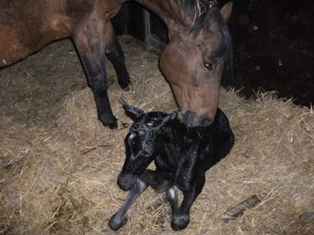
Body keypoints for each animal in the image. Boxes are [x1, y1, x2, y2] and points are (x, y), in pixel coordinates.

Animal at [0, 0, 231, 129]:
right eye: (208, 64)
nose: (206, 121)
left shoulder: (103, 20)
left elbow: (116, 54)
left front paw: (125, 83)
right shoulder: (86, 28)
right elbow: (98, 79)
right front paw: (108, 120)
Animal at [109, 100, 234, 230]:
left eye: (147, 152)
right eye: (126, 142)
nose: (123, 183)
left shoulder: (196, 182)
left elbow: (178, 221)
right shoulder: (163, 171)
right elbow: (146, 177)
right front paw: (118, 219)